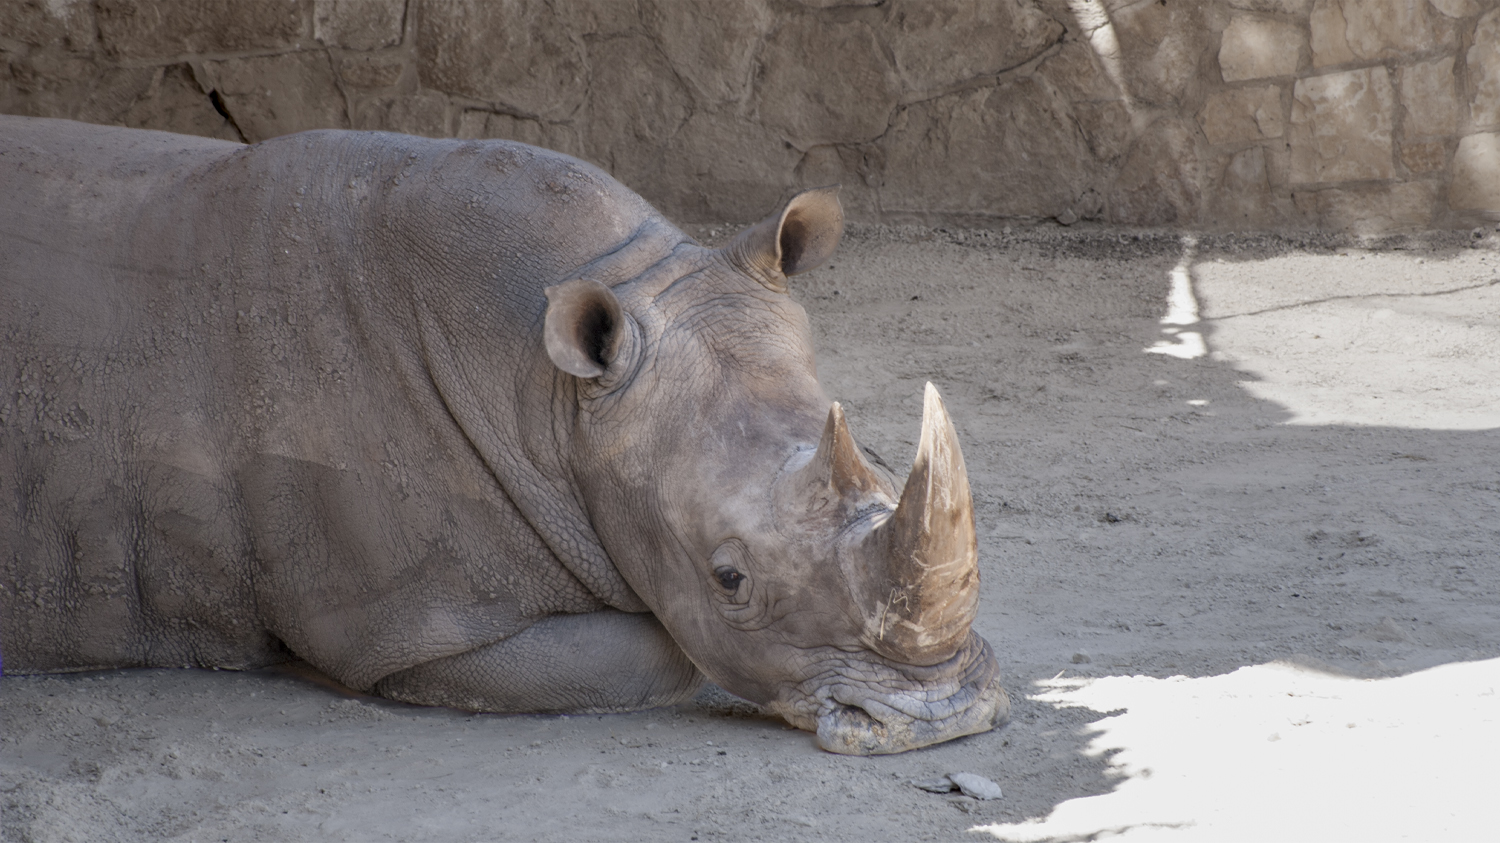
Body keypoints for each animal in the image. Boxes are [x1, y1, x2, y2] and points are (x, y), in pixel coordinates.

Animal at [0, 115, 1008, 755]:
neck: (557, 399)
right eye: (729, 579)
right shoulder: (412, 627)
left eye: (883, 472)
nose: (945, 716)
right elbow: (668, 650)